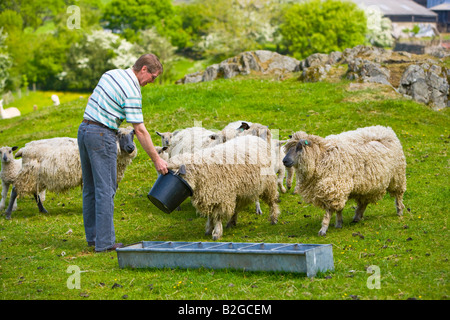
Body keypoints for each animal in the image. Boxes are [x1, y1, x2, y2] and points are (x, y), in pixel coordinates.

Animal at [3, 126, 137, 219]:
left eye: (132, 135)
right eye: (120, 135)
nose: (131, 147)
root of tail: (24, 149)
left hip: (35, 177)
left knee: (34, 192)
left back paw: (43, 210)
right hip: (29, 173)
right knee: (15, 190)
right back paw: (8, 214)